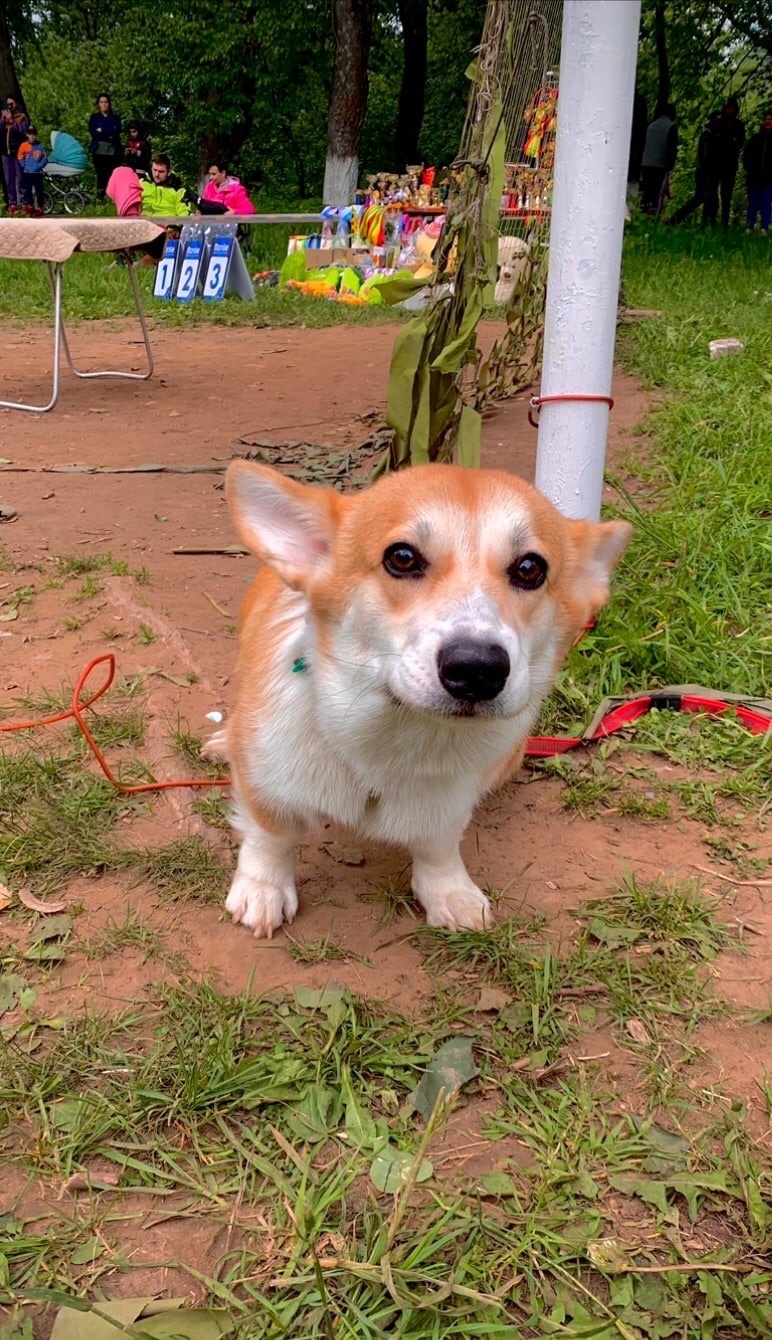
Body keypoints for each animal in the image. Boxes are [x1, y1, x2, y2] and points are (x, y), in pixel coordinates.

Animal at [207, 463, 629, 943]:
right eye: (402, 558)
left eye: (529, 568)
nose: (477, 669)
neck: (397, 733)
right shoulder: (267, 778)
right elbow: (271, 835)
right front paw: (263, 889)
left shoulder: (450, 799)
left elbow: (438, 846)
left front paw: (450, 893)